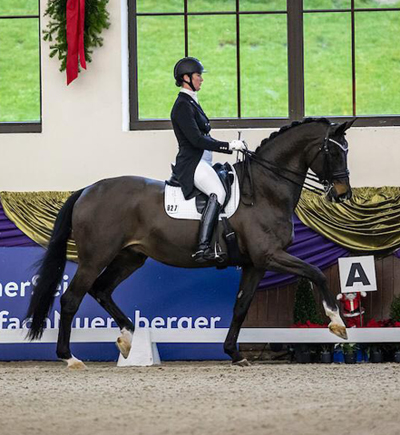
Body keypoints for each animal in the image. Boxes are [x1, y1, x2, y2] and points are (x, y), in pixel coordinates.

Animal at [26, 117, 354, 370]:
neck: (264, 190)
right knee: (71, 299)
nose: (343, 193)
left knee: (101, 290)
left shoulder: (255, 264)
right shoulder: (270, 255)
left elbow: (241, 306)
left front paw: (234, 354)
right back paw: (70, 358)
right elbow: (316, 273)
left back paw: (128, 337)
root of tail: (86, 190)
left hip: (130, 257)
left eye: (346, 151)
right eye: (333, 152)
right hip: (96, 257)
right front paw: (337, 323)